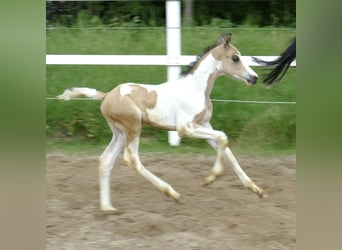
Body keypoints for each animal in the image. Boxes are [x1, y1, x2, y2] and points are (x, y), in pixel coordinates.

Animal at [57, 33, 268, 211]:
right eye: (235, 58)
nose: (254, 78)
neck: (195, 89)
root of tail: (107, 95)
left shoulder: (204, 125)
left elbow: (227, 150)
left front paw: (257, 190)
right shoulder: (185, 128)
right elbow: (224, 137)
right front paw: (210, 178)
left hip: (119, 133)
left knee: (105, 160)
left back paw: (108, 208)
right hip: (133, 128)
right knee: (131, 160)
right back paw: (173, 194)